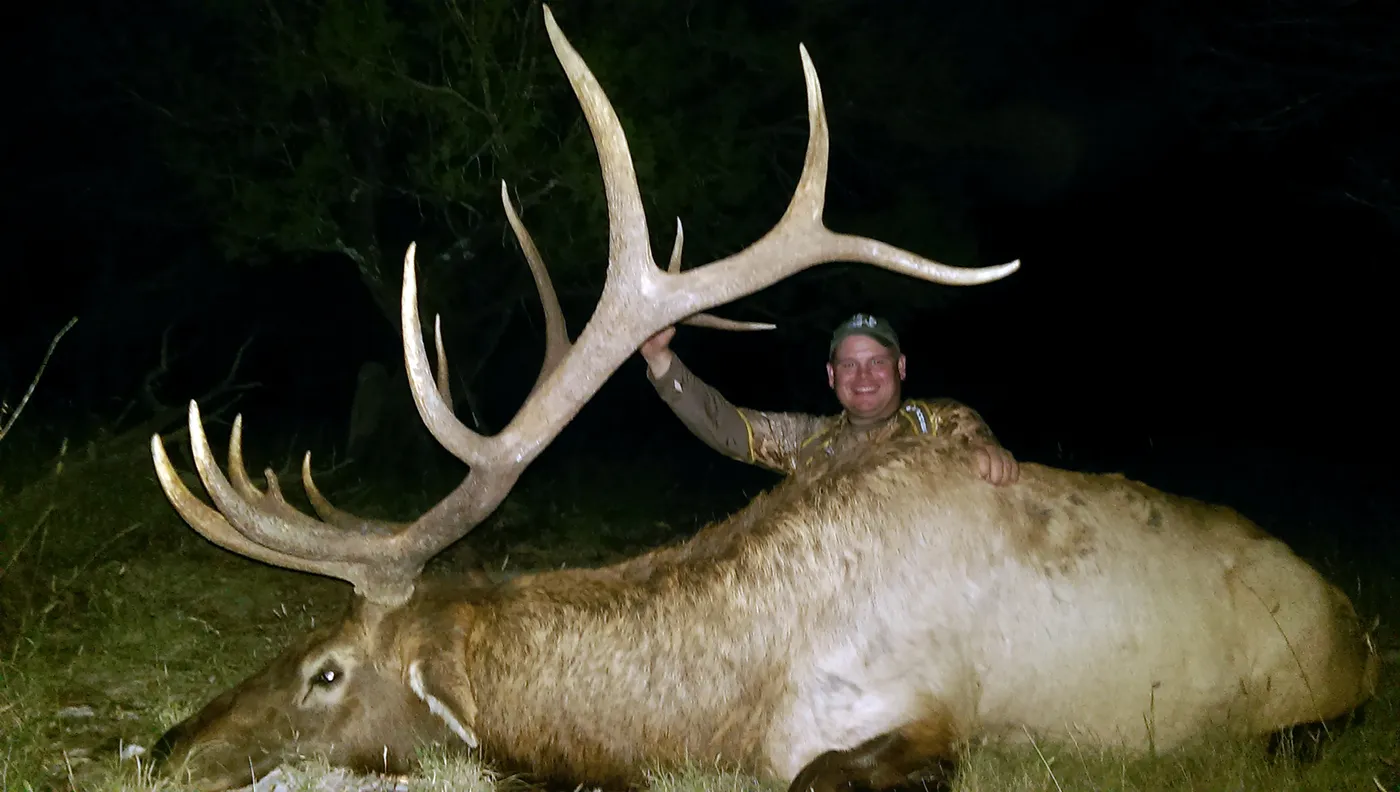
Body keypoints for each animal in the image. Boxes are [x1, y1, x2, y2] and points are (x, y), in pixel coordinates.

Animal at [148, 6, 1379, 791]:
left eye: (325, 672)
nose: (167, 748)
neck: (719, 702)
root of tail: (1356, 619)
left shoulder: (916, 710)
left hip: (1311, 689)